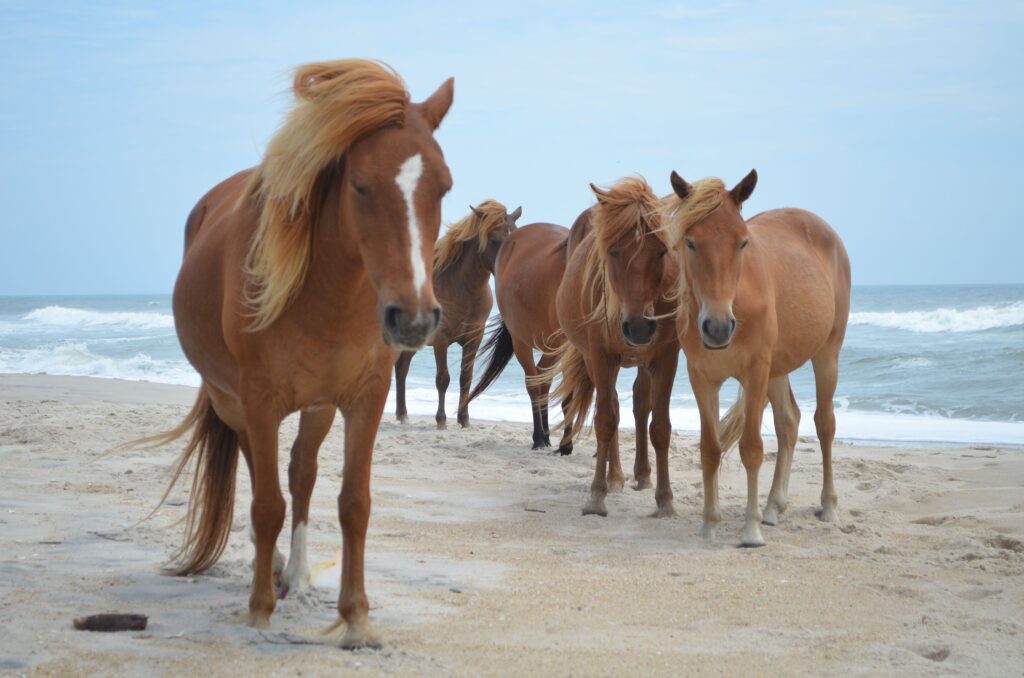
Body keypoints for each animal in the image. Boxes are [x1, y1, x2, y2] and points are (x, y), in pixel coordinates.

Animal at [143, 59, 452, 647]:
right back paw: (273, 572)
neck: (327, 297)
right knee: (260, 475)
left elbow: (353, 503)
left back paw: (298, 574)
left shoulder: (365, 399)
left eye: (444, 187)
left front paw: (356, 617)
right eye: (359, 185)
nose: (414, 318)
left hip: (318, 407)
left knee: (301, 474)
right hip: (234, 404)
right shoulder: (259, 400)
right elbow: (267, 506)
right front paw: (259, 611)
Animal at [391, 199, 520, 428]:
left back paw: (402, 414)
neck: (463, 288)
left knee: (402, 368)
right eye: (494, 240)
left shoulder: (474, 339)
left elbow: (465, 378)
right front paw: (441, 420)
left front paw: (464, 419)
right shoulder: (441, 340)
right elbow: (443, 379)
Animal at [466, 223, 573, 454]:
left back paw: (547, 436)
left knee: (543, 379)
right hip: (523, 342)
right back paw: (540, 438)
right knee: (534, 381)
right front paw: (564, 445)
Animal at [548, 178, 684, 518]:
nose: (638, 327)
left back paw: (642, 475)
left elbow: (660, 426)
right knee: (611, 408)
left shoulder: (666, 357)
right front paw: (597, 497)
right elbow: (605, 420)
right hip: (598, 362)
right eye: (613, 252)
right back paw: (615, 477)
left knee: (639, 404)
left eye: (661, 251)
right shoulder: (600, 356)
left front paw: (665, 500)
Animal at [659, 168, 851, 548]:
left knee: (824, 424)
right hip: (778, 369)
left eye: (742, 242)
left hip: (827, 355)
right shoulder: (702, 378)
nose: (718, 328)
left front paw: (751, 530)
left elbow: (751, 449)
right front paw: (709, 524)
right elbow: (710, 449)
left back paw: (828, 507)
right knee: (789, 422)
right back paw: (774, 506)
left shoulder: (755, 371)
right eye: (691, 242)